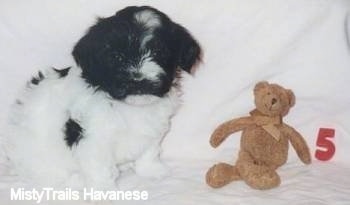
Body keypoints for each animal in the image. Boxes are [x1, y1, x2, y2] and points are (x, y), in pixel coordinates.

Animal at [5, 6, 201, 189]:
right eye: (117, 57)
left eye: (159, 53)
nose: (137, 80)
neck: (129, 106)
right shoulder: (93, 139)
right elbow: (98, 167)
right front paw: (103, 191)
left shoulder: (152, 129)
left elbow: (149, 151)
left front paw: (151, 170)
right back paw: (75, 180)